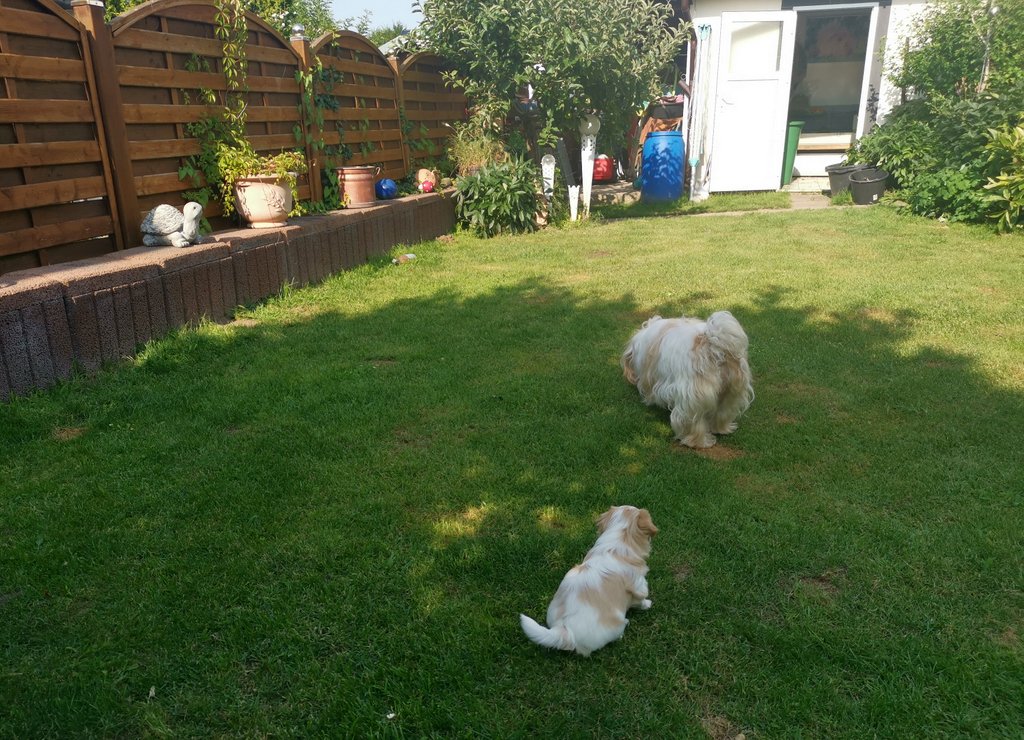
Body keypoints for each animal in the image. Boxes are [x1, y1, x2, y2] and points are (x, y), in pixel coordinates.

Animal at [621, 311, 753, 448]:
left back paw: (695, 441)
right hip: (731, 393)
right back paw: (721, 429)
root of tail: (715, 347)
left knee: (693, 423)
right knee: (723, 413)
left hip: (692, 400)